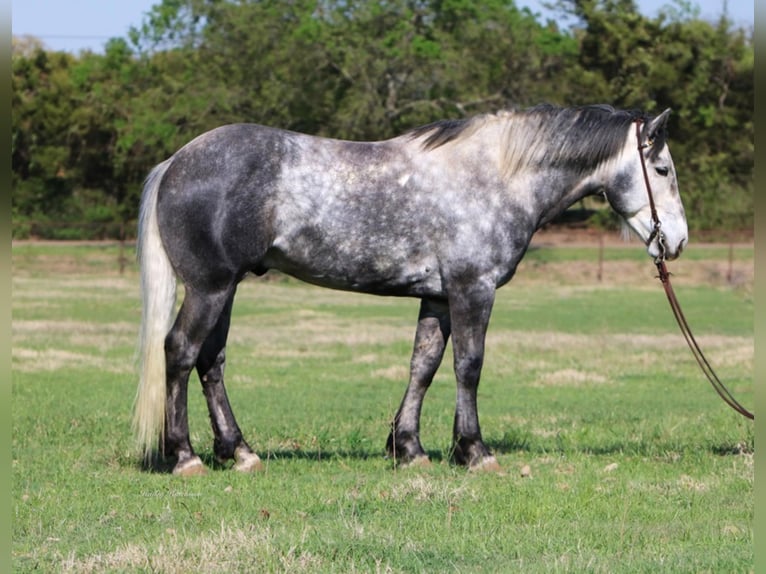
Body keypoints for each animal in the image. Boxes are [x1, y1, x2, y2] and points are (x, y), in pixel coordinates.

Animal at [132, 103, 688, 476]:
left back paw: (241, 453)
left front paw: (410, 449)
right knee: (180, 352)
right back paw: (185, 456)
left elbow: (424, 365)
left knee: (211, 363)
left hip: (225, 290)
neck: (493, 176)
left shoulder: (438, 297)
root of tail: (175, 162)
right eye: (662, 170)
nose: (677, 241)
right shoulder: (472, 290)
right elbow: (469, 366)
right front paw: (474, 451)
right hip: (209, 289)